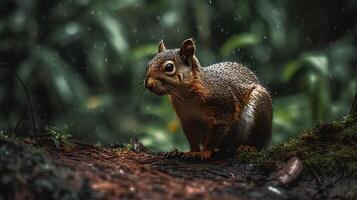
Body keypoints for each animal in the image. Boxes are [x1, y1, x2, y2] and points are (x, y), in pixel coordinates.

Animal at [143, 37, 272, 159]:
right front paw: (191, 152)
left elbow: (214, 136)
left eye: (169, 67)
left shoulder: (223, 109)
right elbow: (192, 137)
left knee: (258, 141)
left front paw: (204, 152)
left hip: (259, 109)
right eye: (147, 65)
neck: (185, 96)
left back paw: (248, 147)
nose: (148, 85)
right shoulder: (187, 118)